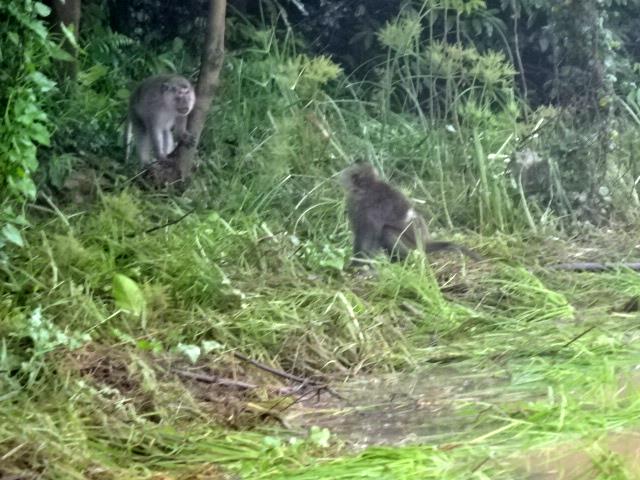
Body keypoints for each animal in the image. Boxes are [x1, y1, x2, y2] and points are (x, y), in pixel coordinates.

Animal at [340, 161, 480, 266]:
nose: (342, 176)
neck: (370, 186)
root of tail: (426, 243)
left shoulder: (366, 206)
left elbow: (368, 236)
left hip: (413, 247)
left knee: (386, 231)